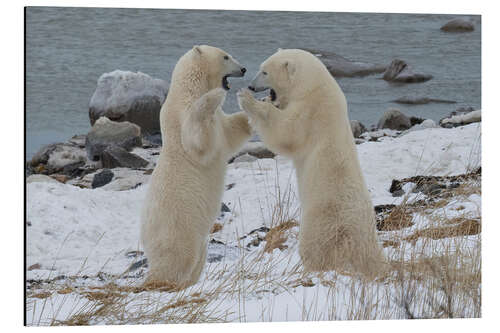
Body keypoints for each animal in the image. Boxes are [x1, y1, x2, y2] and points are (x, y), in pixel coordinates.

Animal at [141, 45, 252, 290]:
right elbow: (197, 139)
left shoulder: (220, 124)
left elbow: (231, 132)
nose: (243, 68)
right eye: (226, 56)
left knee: (197, 261)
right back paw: (164, 282)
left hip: (200, 242)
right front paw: (215, 97)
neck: (189, 89)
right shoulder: (181, 116)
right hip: (178, 228)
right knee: (177, 260)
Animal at [236, 48, 384, 278]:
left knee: (315, 245)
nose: (252, 85)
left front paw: (247, 99)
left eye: (264, 71)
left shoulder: (311, 111)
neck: (313, 85)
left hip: (323, 219)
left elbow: (286, 132)